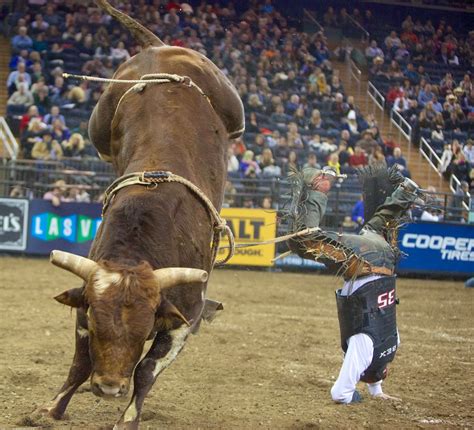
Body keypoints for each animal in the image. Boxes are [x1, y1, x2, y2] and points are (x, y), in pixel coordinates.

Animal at [32, 1, 244, 428]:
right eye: (98, 322)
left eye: (143, 326)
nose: (109, 388)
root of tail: (158, 48)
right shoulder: (84, 304)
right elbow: (80, 361)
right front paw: (53, 408)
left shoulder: (184, 318)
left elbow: (146, 369)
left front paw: (128, 416)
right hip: (101, 121)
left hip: (234, 110)